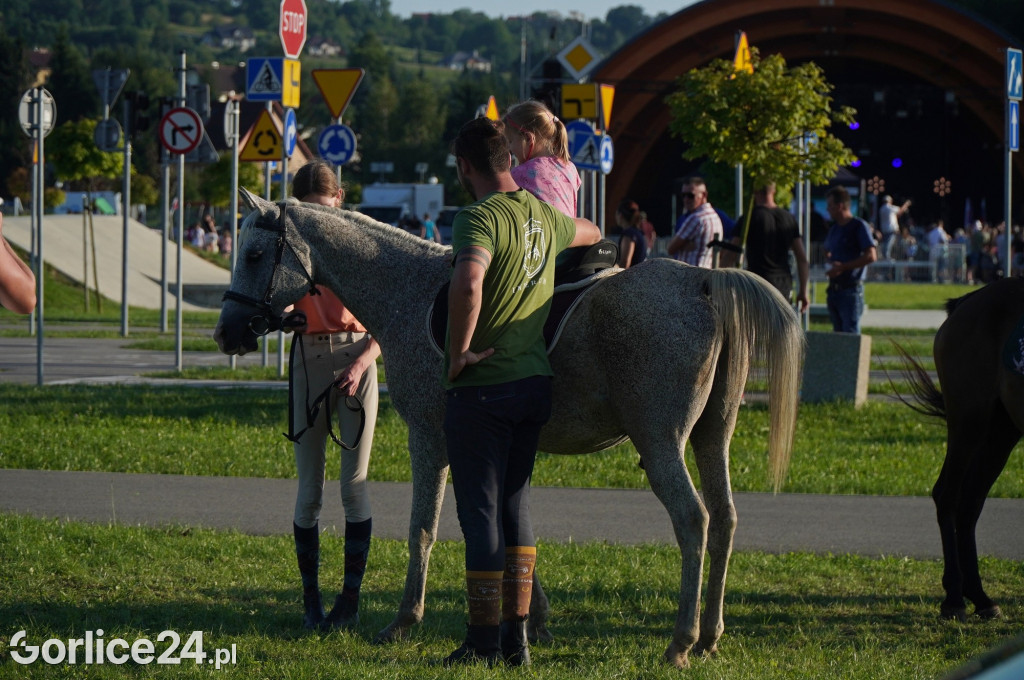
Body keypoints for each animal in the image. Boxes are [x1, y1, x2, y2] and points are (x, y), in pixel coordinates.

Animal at [214, 188, 806, 667]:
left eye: (255, 255)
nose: (227, 331)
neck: (411, 290)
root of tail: (704, 280)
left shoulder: (431, 437)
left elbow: (424, 528)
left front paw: (405, 619)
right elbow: (512, 525)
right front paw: (530, 619)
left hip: (661, 445)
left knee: (693, 520)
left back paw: (681, 640)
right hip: (711, 436)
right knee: (725, 518)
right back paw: (708, 635)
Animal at [901, 276, 1019, 622]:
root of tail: (965, 302)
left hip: (1002, 429)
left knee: (971, 502)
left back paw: (979, 596)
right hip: (970, 419)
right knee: (948, 494)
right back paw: (955, 595)